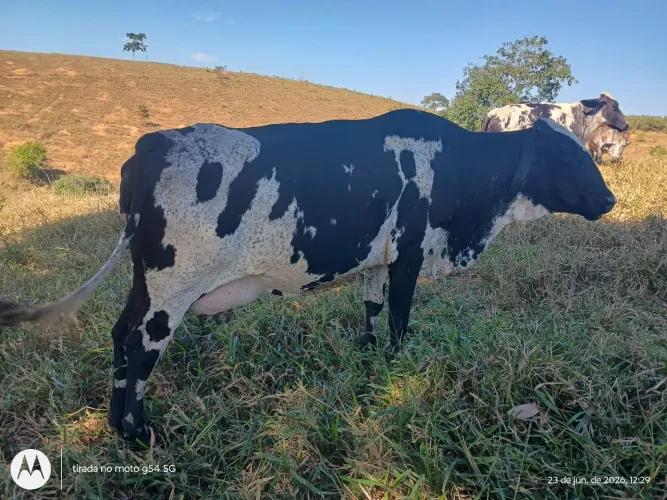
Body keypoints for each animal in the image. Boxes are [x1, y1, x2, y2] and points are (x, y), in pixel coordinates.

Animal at [0, 109, 616, 445]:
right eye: (567, 159)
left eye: (588, 153)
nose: (610, 200)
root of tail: (151, 145)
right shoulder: (411, 255)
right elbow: (400, 321)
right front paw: (400, 370)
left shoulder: (379, 259)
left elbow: (372, 309)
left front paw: (370, 357)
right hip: (170, 289)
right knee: (139, 345)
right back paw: (136, 433)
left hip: (144, 281)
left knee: (117, 334)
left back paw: (112, 423)